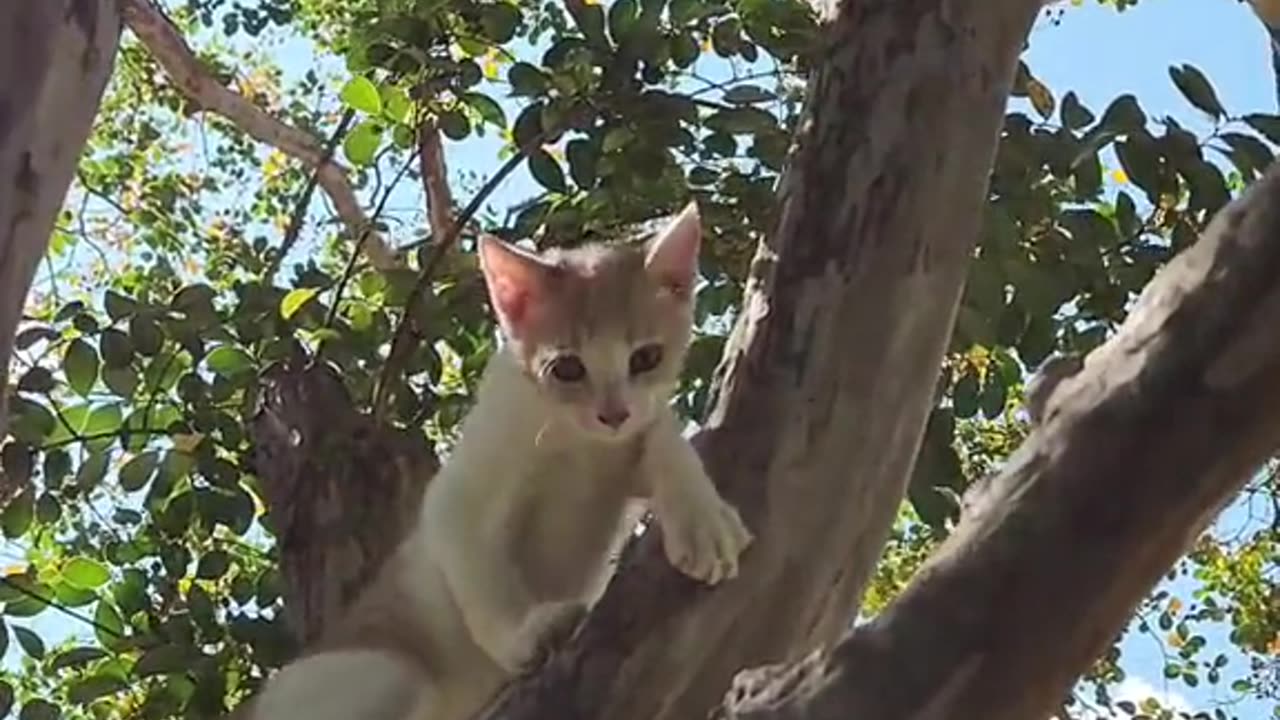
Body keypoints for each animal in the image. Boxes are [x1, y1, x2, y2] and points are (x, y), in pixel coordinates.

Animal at [238, 199, 747, 717]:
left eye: (646, 358)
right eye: (566, 368)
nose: (612, 414)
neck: (573, 441)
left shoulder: (625, 449)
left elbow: (664, 437)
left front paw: (701, 518)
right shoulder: (460, 492)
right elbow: (482, 576)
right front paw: (525, 634)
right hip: (379, 673)